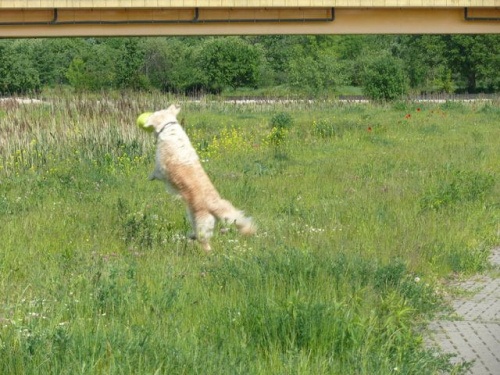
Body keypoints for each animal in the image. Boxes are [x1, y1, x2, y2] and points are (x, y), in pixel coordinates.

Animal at [143, 105, 256, 253]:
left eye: (154, 113)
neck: (169, 128)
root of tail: (215, 207)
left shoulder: (162, 167)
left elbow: (155, 172)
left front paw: (149, 177)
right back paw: (191, 236)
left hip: (201, 223)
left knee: (205, 243)